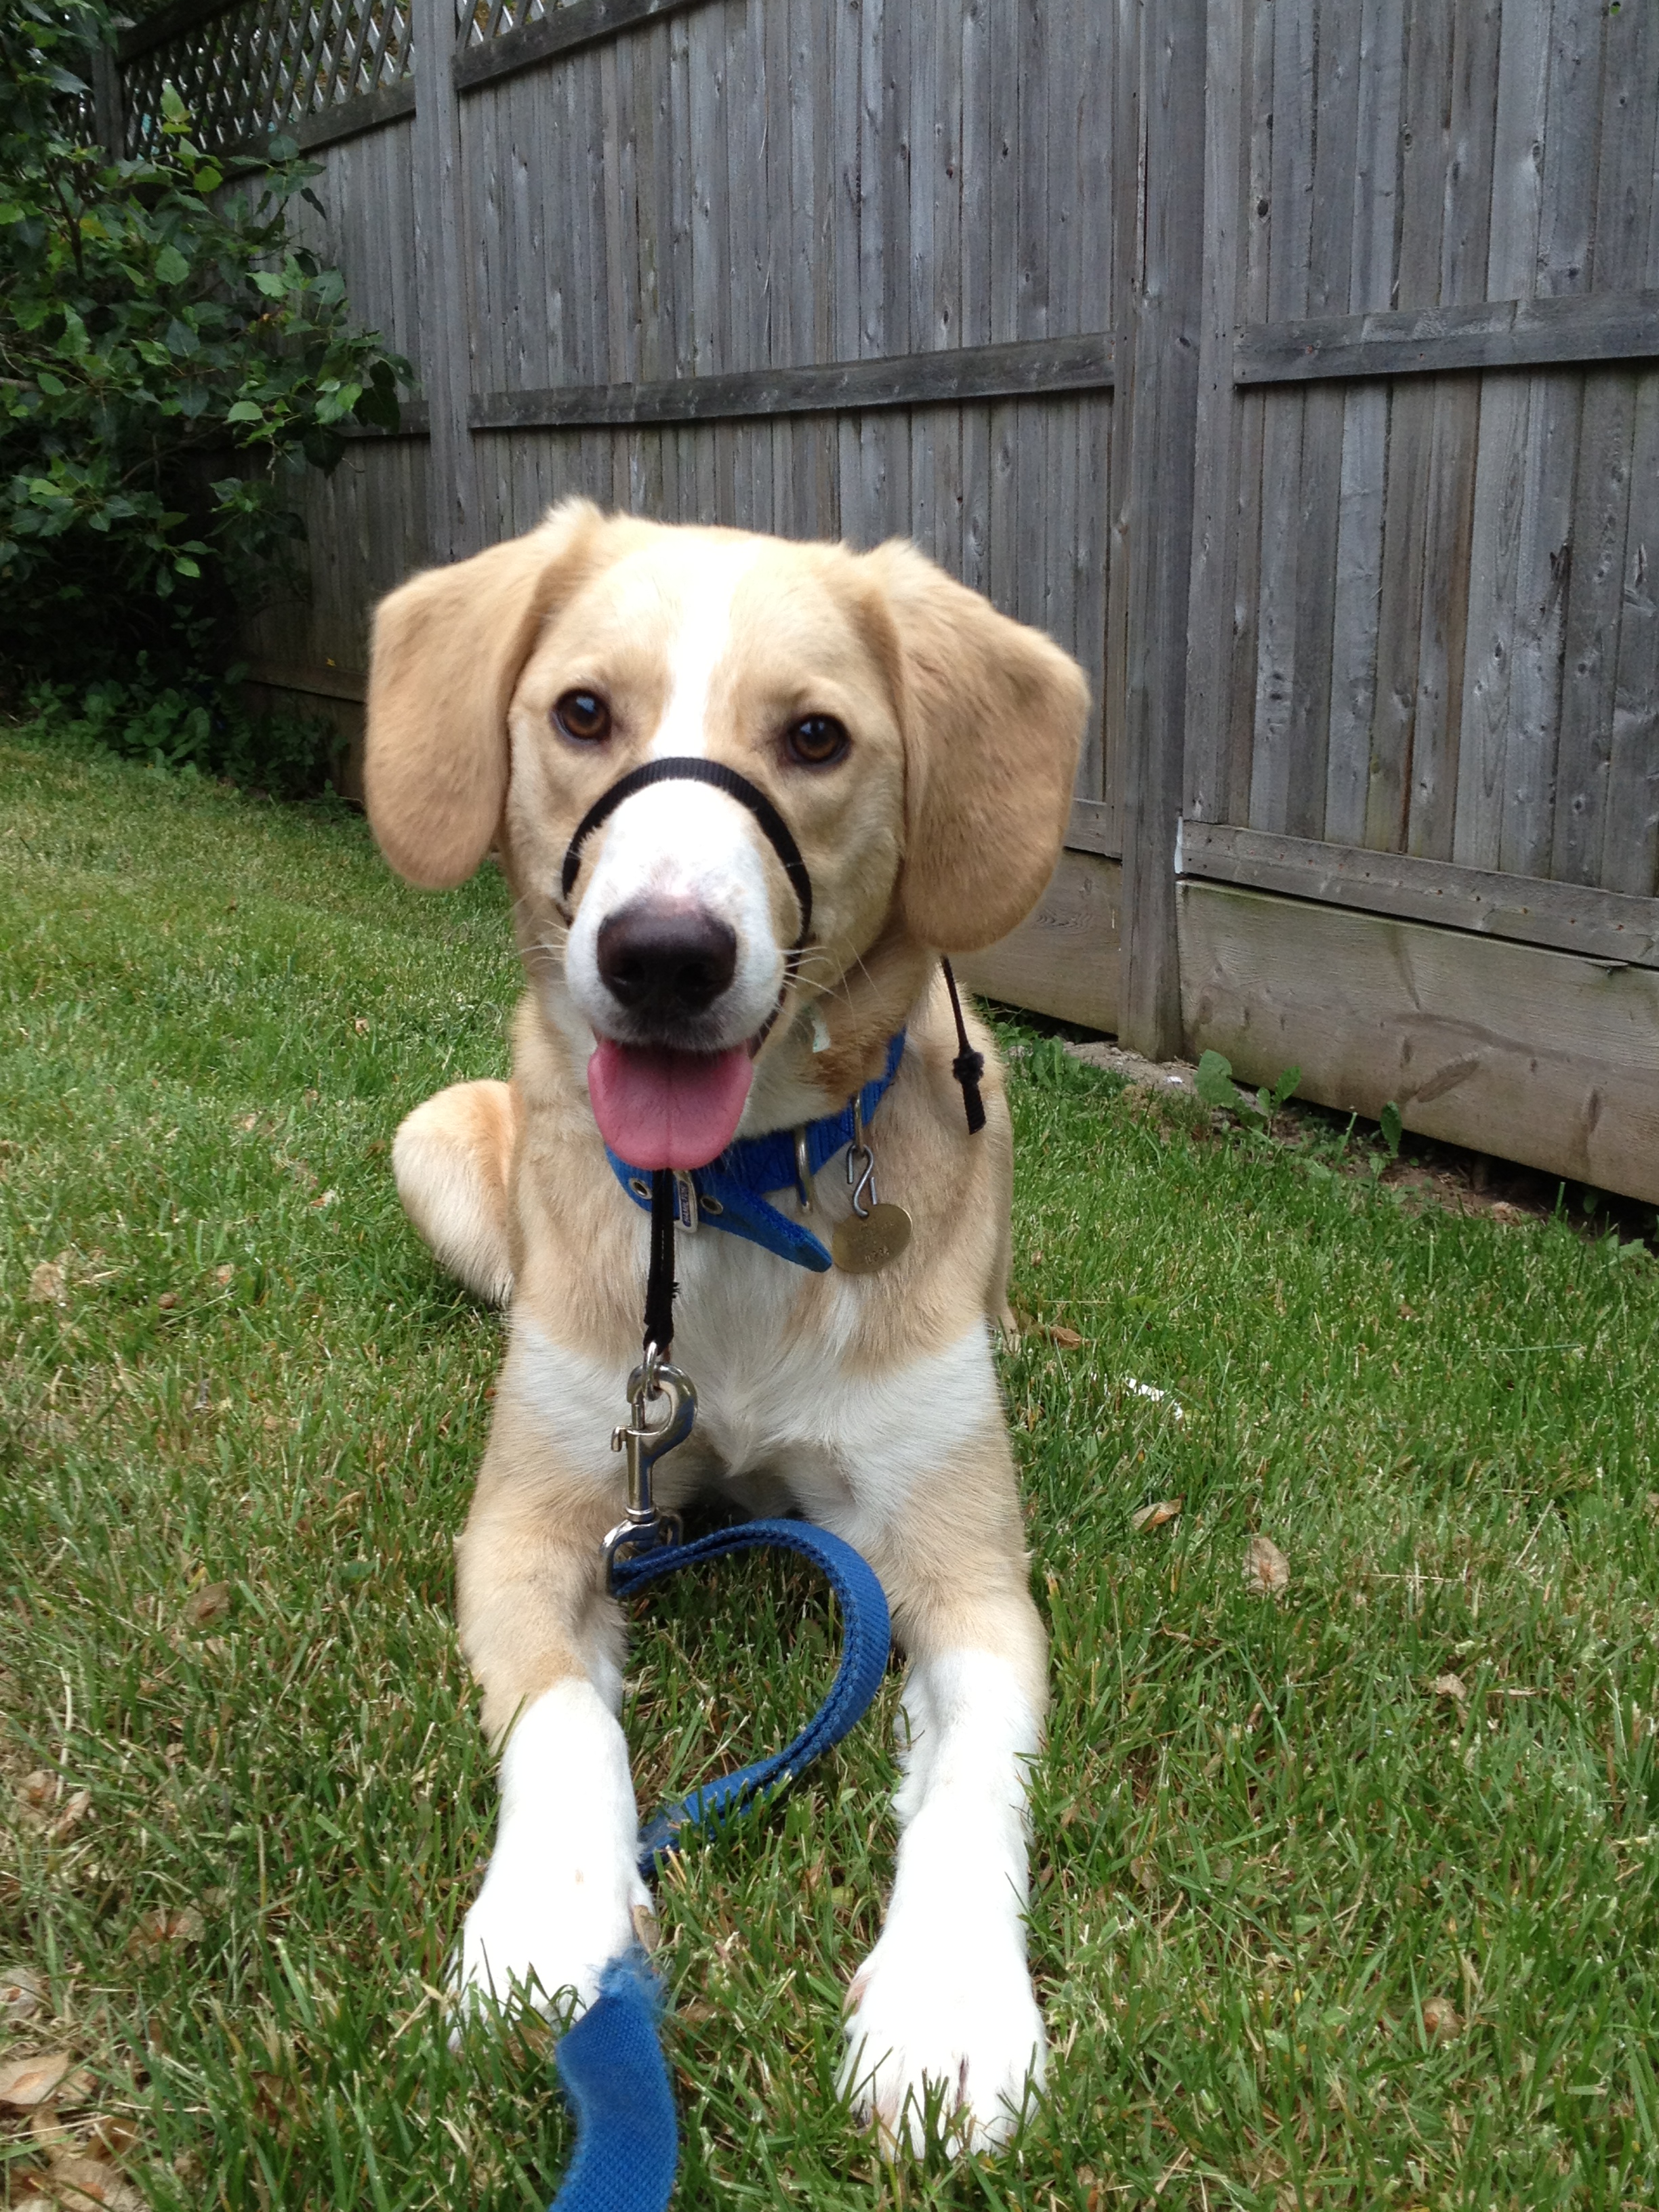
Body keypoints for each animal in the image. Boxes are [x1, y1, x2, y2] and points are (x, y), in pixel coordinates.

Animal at [365, 497, 1092, 2141]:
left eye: (814, 736)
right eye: (582, 713)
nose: (662, 955)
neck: (742, 1191)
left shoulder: (969, 1582)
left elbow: (977, 1779)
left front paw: (952, 2010)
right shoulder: (530, 1529)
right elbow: (564, 1722)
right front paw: (551, 1927)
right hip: (430, 1140)